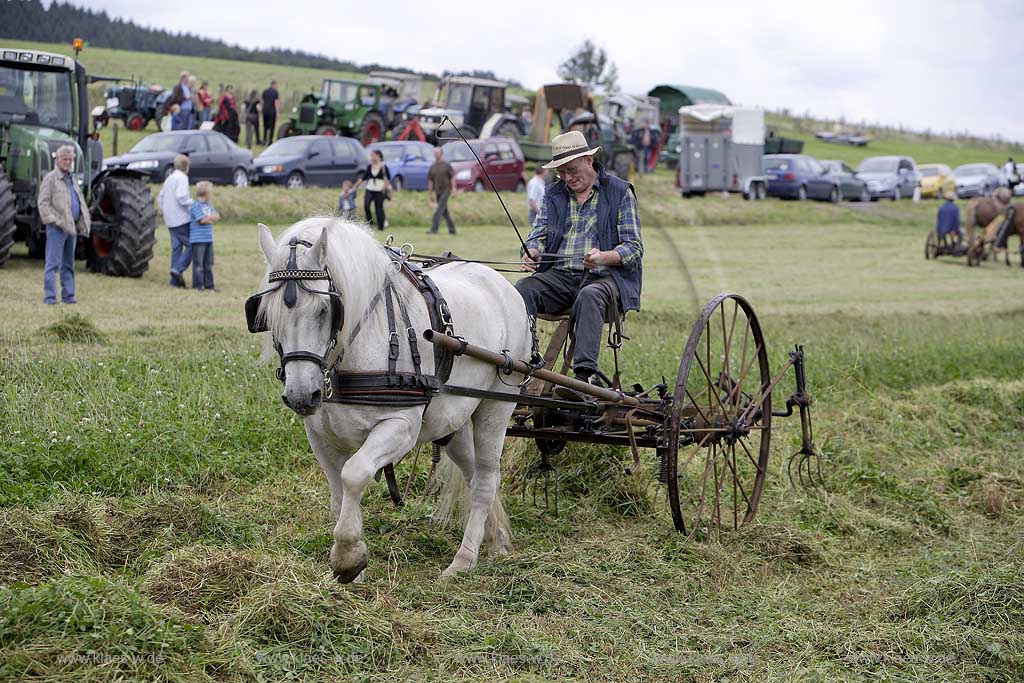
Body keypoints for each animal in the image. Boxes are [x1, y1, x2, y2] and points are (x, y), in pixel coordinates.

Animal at [249, 218, 528, 581]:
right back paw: (495, 540)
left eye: (326, 309)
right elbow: (338, 493)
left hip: (496, 406)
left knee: (485, 480)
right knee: (474, 475)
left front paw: (348, 556)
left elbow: (353, 474)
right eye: (267, 315)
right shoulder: (320, 436)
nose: (301, 395)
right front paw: (353, 567)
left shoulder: (401, 427)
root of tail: (502, 284)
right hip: (453, 421)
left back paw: (463, 561)